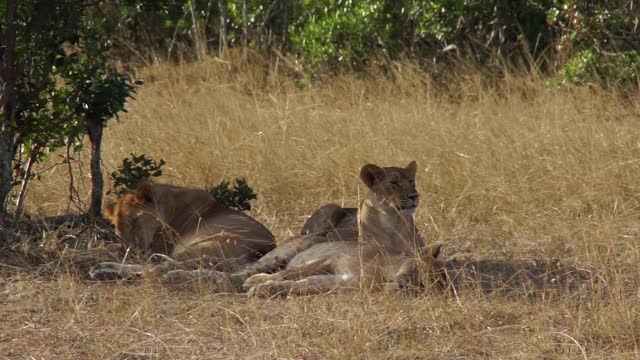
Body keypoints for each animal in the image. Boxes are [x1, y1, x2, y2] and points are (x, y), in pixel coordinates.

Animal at [88, 181, 276, 280]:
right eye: (118, 229)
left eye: (135, 221)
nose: (133, 251)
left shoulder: (159, 248)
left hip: (198, 247)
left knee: (155, 270)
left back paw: (102, 270)